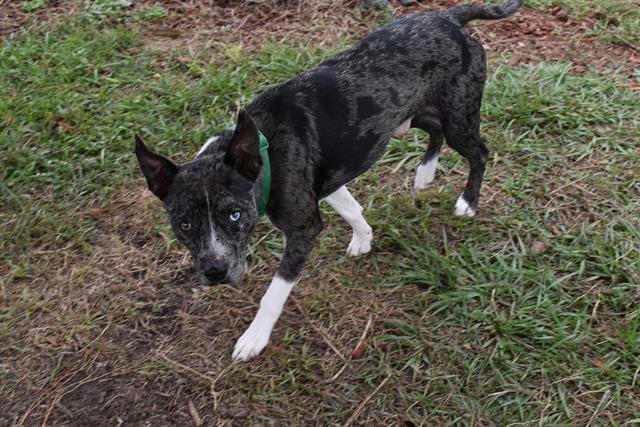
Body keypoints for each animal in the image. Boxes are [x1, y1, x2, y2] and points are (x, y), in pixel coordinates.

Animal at [135, 0, 524, 362]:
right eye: (184, 224)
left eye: (234, 214)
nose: (215, 271)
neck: (264, 151)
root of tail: (450, 16)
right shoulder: (326, 185)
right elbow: (352, 209)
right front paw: (364, 238)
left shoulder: (303, 229)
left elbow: (273, 293)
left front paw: (255, 337)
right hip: (414, 113)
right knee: (434, 129)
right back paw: (425, 172)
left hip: (459, 116)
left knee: (479, 152)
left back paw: (467, 201)